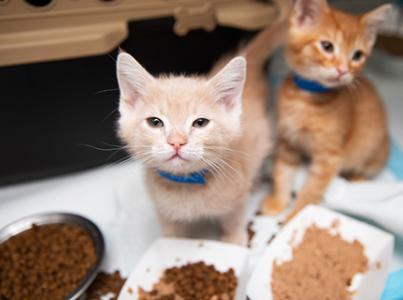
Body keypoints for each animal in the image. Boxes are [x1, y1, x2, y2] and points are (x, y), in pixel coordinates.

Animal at [117, 1, 290, 244]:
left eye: (200, 123)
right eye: (155, 122)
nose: (176, 142)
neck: (187, 186)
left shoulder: (236, 200)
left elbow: (234, 221)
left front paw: (234, 240)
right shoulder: (164, 211)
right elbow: (170, 236)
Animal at [262, 0, 392, 220]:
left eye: (357, 55)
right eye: (327, 46)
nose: (343, 70)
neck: (305, 99)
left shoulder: (329, 156)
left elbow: (311, 188)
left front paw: (297, 215)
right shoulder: (288, 141)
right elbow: (282, 172)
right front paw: (278, 201)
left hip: (374, 149)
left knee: (366, 170)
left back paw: (357, 178)